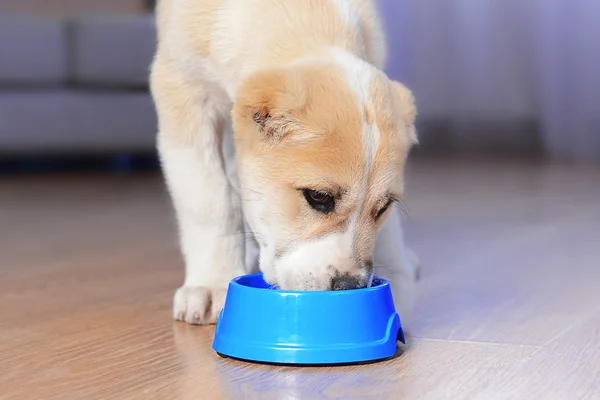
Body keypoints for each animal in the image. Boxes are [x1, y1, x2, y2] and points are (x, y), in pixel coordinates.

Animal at [150, 0, 420, 328]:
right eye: (318, 196)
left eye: (383, 207)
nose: (349, 287)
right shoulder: (183, 88)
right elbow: (209, 201)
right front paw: (211, 284)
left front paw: (397, 276)